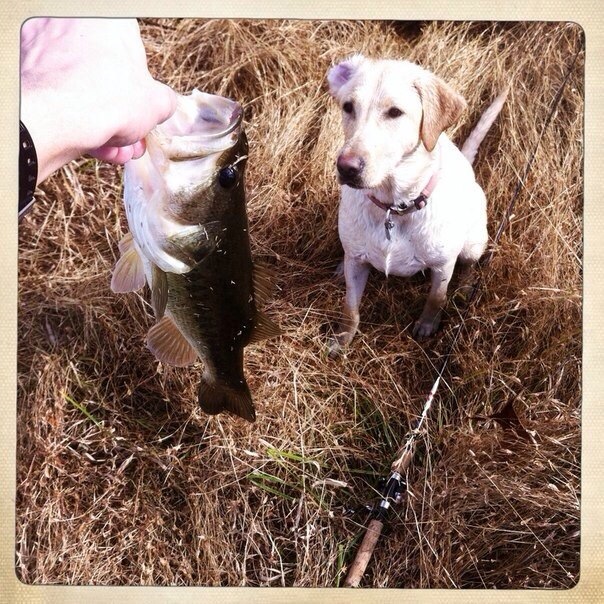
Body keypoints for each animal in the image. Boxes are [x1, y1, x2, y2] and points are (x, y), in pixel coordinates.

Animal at [326, 56, 504, 354]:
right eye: (348, 107)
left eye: (395, 112)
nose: (346, 168)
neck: (393, 207)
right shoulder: (357, 266)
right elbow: (350, 308)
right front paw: (341, 339)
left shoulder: (443, 266)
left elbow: (436, 298)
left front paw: (427, 325)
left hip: (473, 242)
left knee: (468, 265)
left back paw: (464, 289)